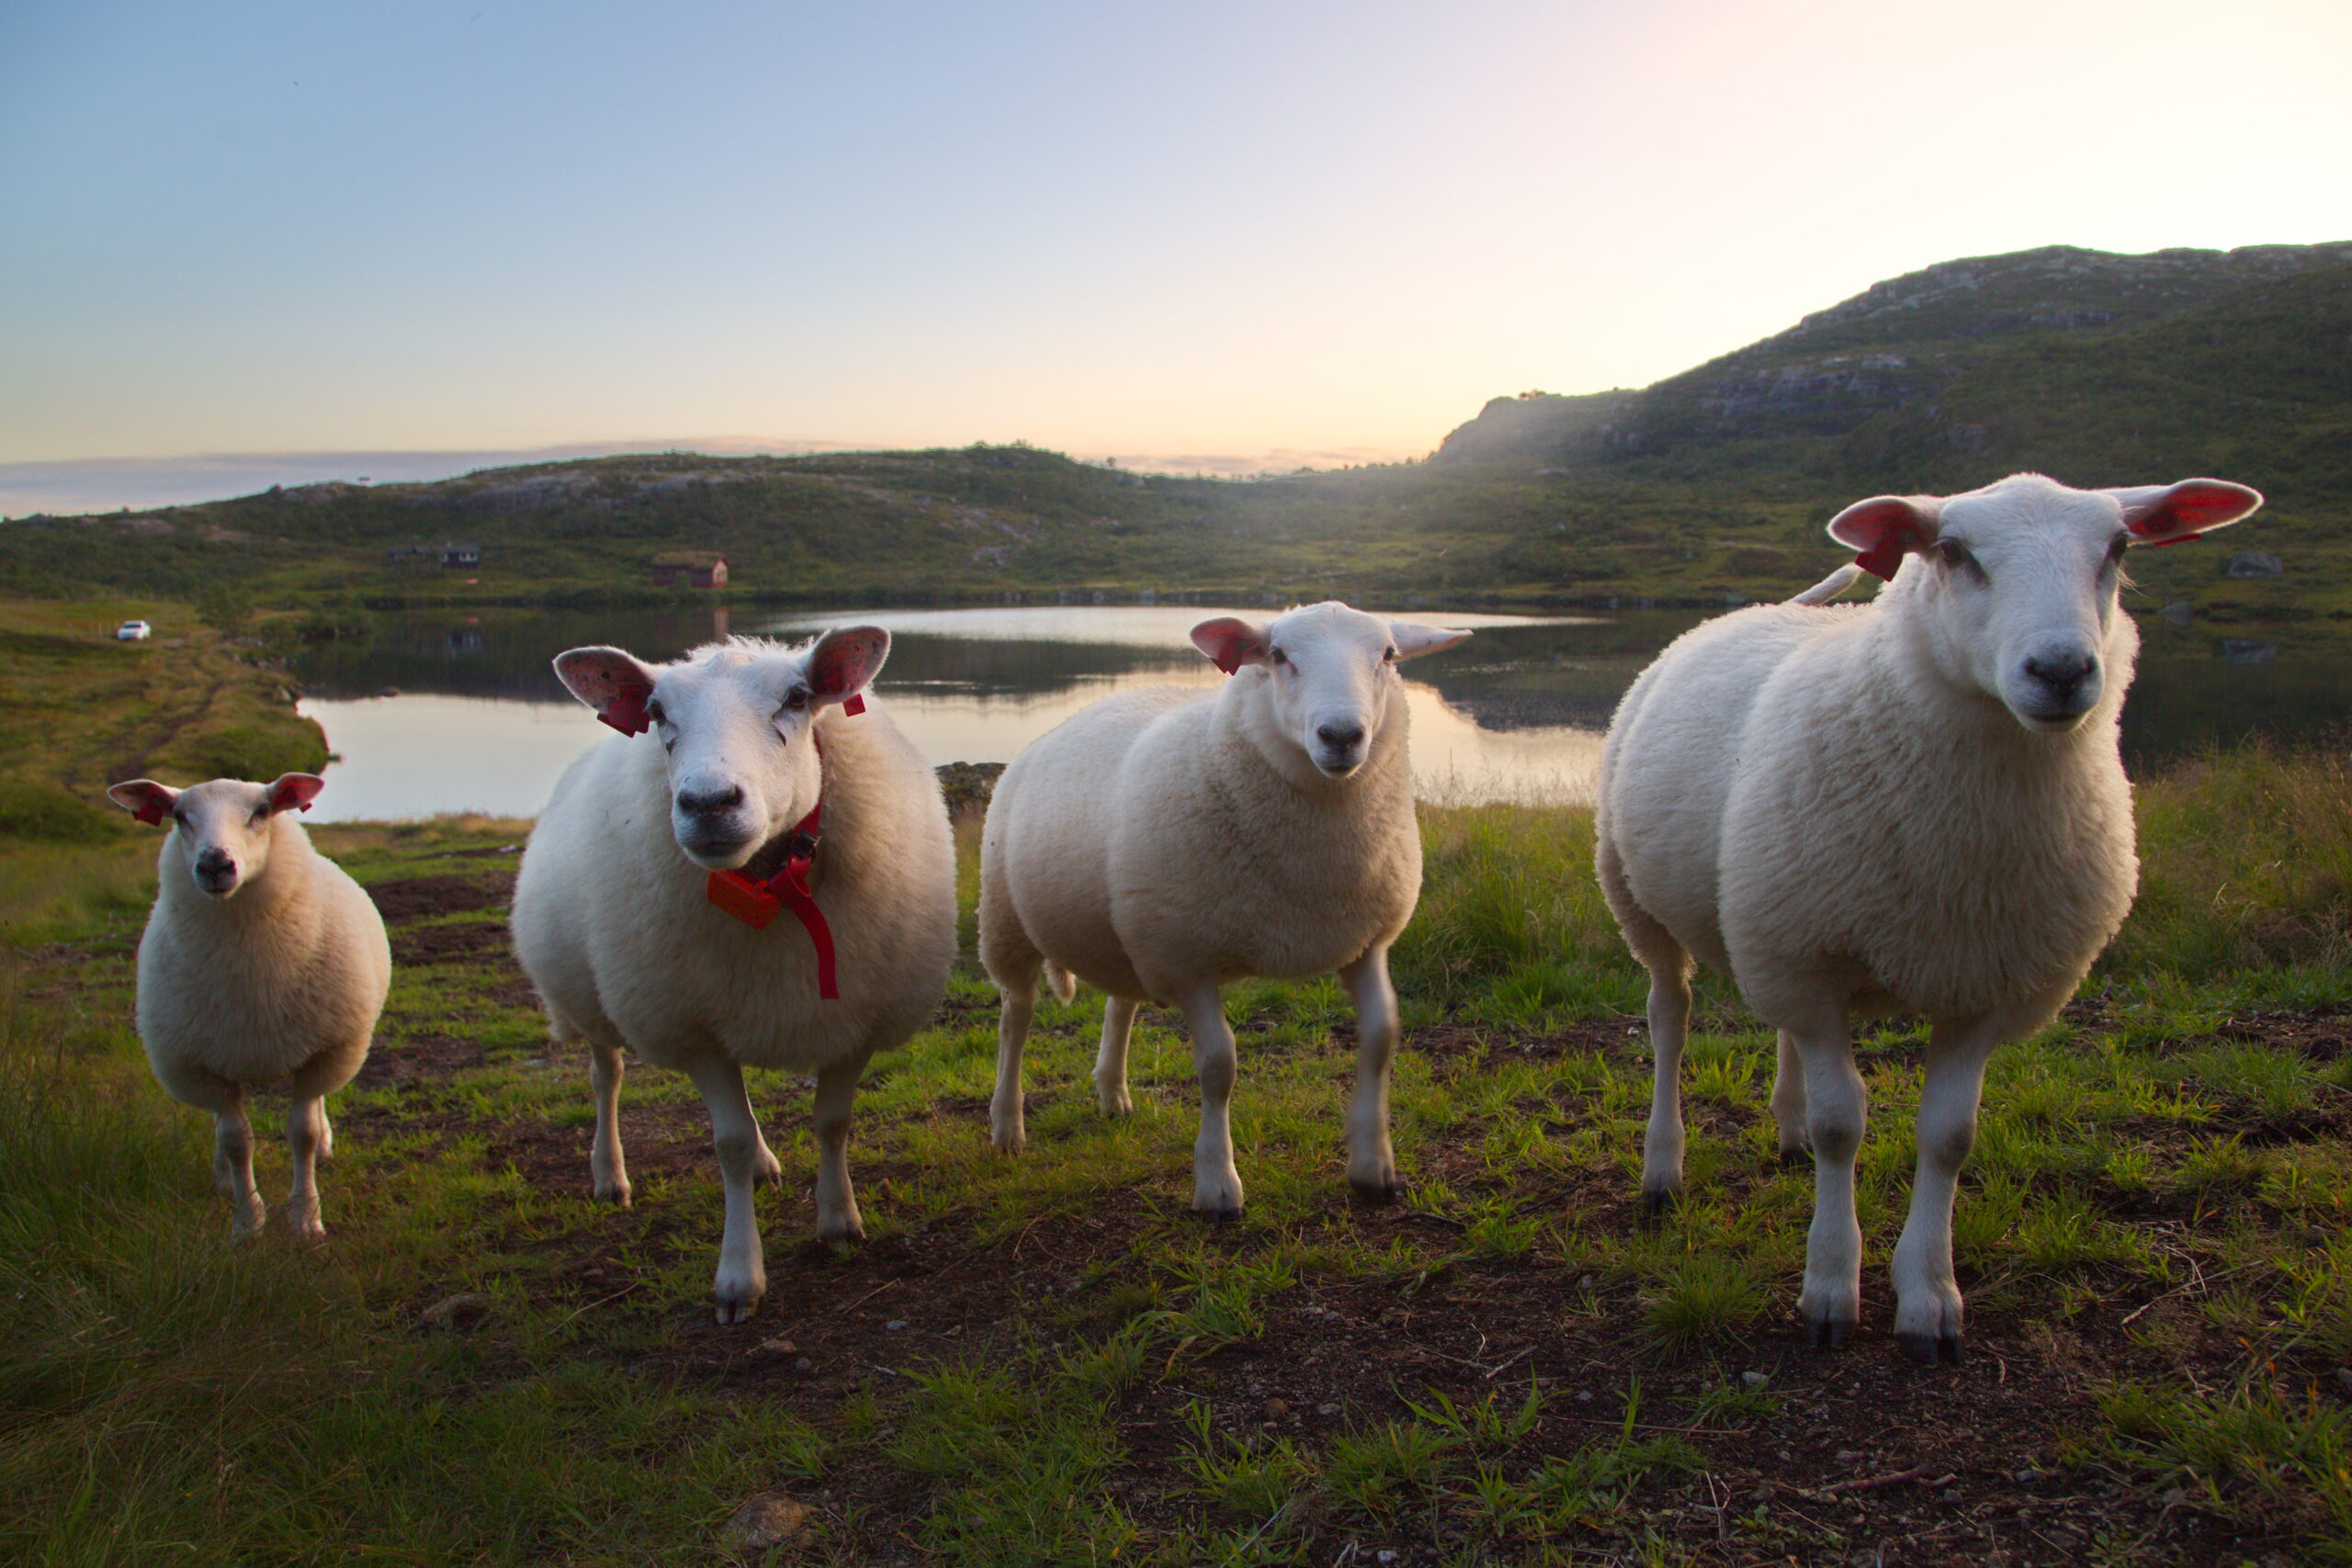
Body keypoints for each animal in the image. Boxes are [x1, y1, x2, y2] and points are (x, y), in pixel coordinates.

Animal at [105, 773, 392, 1242]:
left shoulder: (322, 1053)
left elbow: (302, 1132)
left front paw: (306, 1218)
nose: (214, 865)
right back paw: (222, 1178)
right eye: (178, 815)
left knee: (316, 1109)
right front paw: (247, 1221)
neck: (251, 978)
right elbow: (236, 1140)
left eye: (261, 811)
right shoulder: (203, 1066)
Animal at [510, 629, 956, 1323]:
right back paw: (609, 1175)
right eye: (657, 712)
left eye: (798, 699)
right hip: (596, 994)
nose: (709, 803)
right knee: (606, 1076)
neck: (768, 883)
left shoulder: (856, 1016)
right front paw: (739, 1276)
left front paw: (839, 1222)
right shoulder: (694, 1030)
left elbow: (832, 1122)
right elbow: (729, 1146)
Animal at [980, 600, 1469, 1218]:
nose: (1341, 735)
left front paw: (1373, 1166)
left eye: (1388, 655)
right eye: (1278, 656)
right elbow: (1218, 1066)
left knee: (1120, 1004)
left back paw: (1112, 1094)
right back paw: (1006, 1126)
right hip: (1007, 922)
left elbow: (1382, 1038)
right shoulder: (1187, 959)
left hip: (1130, 928)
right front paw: (1217, 1185)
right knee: (1015, 1018)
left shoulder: (1364, 941)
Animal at [1595, 473, 2264, 1364]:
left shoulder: (1977, 980)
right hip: (1644, 900)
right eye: (1952, 551)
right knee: (1671, 1018)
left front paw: (1930, 1298)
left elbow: (1950, 1135)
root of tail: (1752, 608)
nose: (2061, 670)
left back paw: (1786, 1131)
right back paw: (1663, 1168)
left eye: (2119, 549)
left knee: (1779, 1029)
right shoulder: (1814, 959)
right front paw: (1831, 1286)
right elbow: (1844, 1125)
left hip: (1770, 916)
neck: (1963, 851)